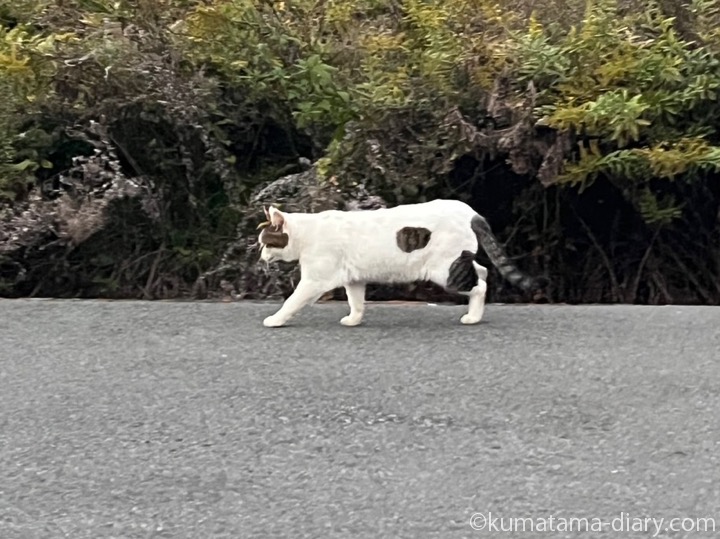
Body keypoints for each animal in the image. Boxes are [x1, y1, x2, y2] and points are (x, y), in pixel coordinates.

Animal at [256, 197, 536, 326]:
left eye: (265, 243)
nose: (260, 257)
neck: (307, 232)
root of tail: (471, 212)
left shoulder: (314, 281)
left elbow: (292, 301)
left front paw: (275, 320)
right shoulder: (354, 280)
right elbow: (356, 302)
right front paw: (354, 320)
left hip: (445, 270)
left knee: (480, 286)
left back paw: (473, 317)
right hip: (457, 260)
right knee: (482, 270)